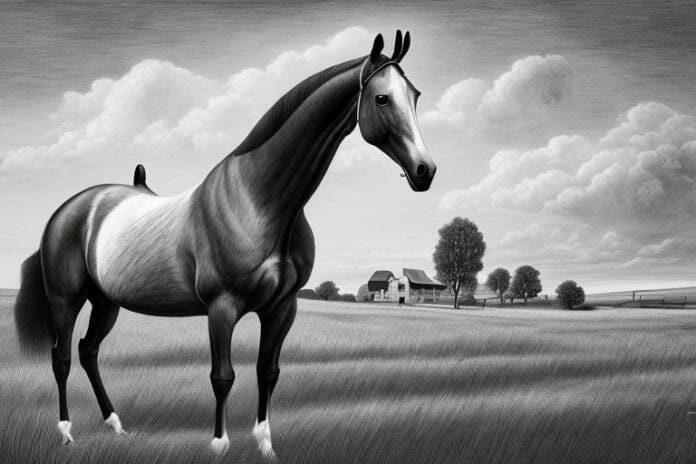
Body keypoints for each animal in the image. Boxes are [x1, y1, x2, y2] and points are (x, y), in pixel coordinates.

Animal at [13, 30, 435, 458]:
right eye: (382, 98)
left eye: (415, 94)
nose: (425, 170)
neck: (257, 201)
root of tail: (72, 209)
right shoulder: (222, 307)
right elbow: (222, 376)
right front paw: (219, 443)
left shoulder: (282, 308)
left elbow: (268, 371)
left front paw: (265, 444)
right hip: (66, 300)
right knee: (62, 358)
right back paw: (67, 432)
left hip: (106, 301)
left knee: (89, 352)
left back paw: (115, 424)